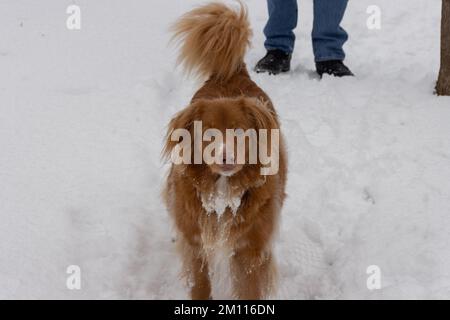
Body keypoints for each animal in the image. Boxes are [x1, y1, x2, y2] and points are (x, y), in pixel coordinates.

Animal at [163, 0, 286, 300]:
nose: (226, 156)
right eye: (207, 132)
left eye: (239, 130)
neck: (221, 189)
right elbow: (200, 285)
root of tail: (233, 71)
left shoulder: (251, 249)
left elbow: (250, 289)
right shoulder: (195, 244)